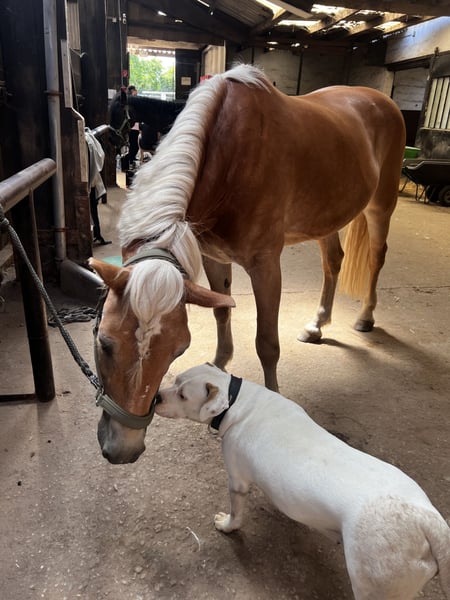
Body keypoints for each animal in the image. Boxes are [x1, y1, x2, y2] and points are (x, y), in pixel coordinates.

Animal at [90, 64, 406, 464]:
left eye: (178, 350)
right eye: (104, 342)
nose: (123, 449)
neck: (229, 154)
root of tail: (379, 99)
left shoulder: (265, 264)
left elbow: (267, 342)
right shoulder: (213, 256)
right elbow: (222, 310)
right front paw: (218, 364)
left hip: (381, 205)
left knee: (377, 258)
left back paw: (365, 316)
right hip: (326, 219)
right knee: (334, 261)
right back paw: (317, 324)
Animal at [156, 363, 450, 600]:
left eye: (183, 395)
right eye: (175, 379)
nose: (156, 396)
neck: (235, 399)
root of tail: (427, 521)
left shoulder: (237, 481)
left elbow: (236, 515)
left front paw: (226, 525)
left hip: (375, 582)